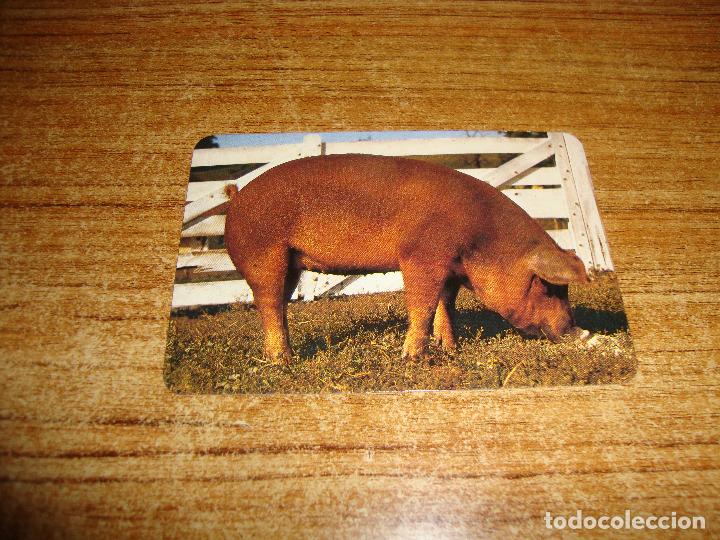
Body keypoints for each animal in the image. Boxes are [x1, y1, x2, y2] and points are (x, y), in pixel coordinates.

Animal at [223, 154, 590, 363]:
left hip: (289, 266)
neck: (481, 239)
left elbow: (446, 306)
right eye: (548, 288)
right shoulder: (421, 255)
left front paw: (450, 350)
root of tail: (236, 197)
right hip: (263, 255)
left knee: (277, 306)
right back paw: (283, 361)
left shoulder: (450, 268)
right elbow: (423, 307)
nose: (579, 331)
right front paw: (414, 359)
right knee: (269, 304)